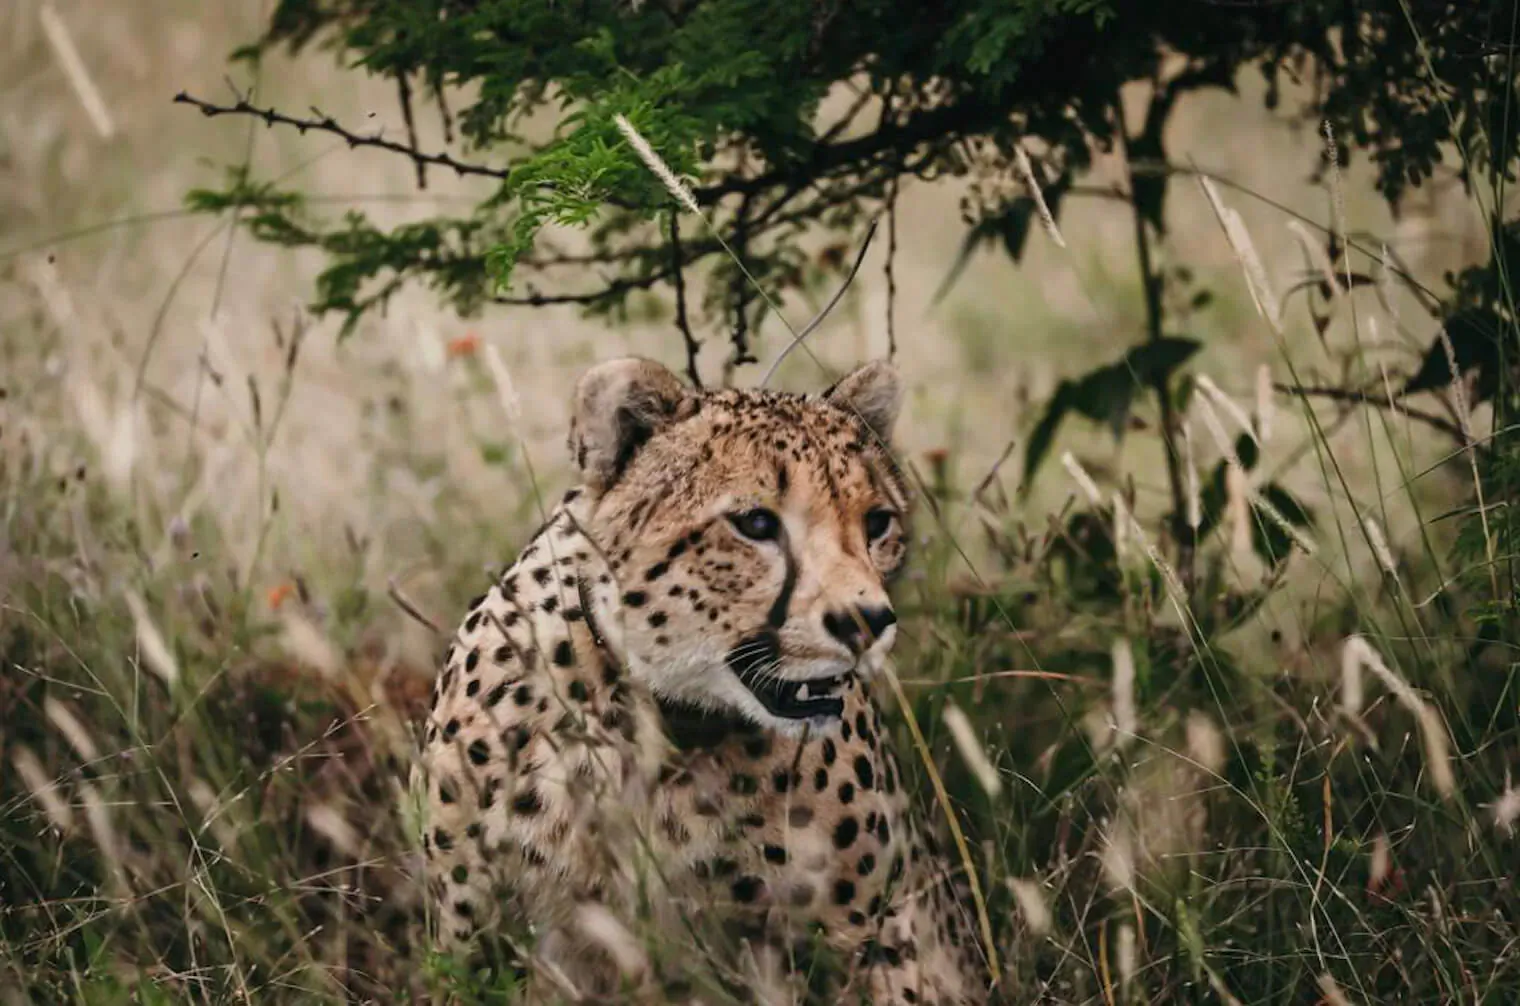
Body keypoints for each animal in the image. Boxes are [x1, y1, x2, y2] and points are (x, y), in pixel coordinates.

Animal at [417, 356, 991, 1004]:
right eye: (756, 523)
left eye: (877, 523)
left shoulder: (865, 940)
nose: (866, 621)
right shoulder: (477, 946)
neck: (649, 719)